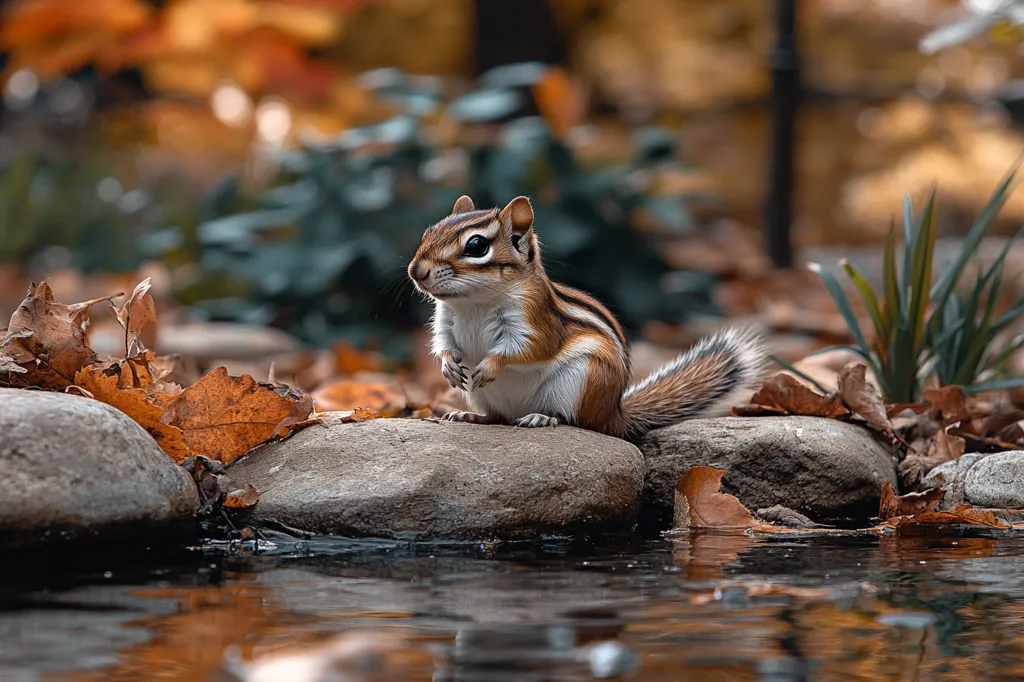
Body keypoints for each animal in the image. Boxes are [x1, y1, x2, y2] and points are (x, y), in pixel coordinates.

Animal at [407, 195, 766, 440]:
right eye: (428, 232)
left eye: (476, 246)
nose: (416, 272)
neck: (473, 304)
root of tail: (614, 414)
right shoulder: (445, 320)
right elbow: (444, 344)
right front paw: (448, 366)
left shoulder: (534, 319)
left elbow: (528, 348)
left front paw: (489, 366)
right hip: (483, 397)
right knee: (499, 417)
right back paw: (471, 417)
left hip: (582, 378)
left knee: (576, 421)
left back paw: (542, 418)